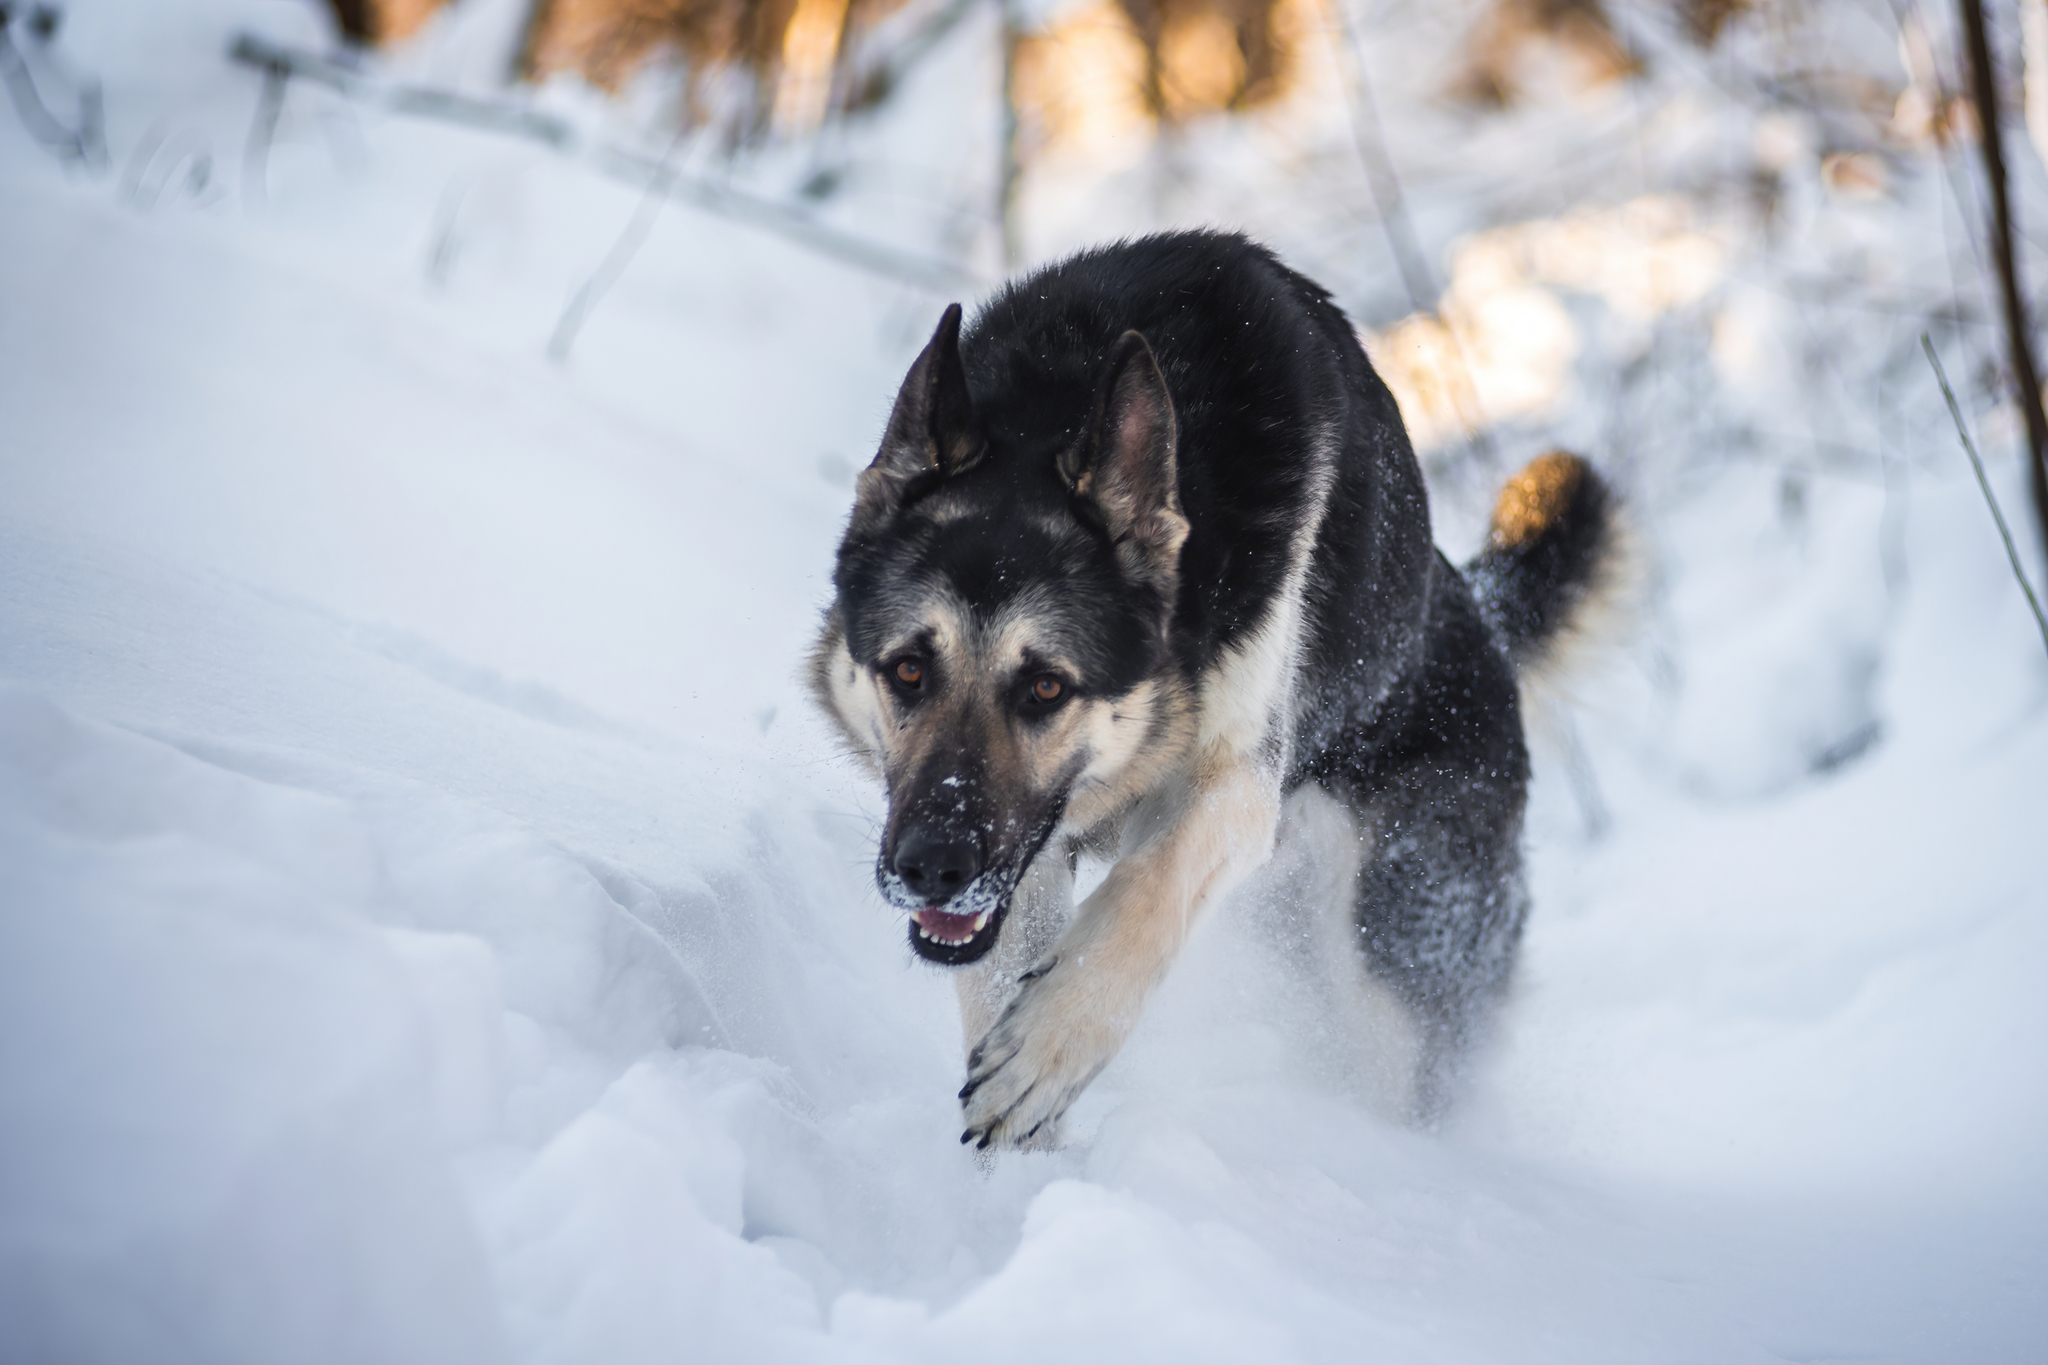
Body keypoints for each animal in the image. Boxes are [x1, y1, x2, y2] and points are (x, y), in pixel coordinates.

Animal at [806, 229, 1622, 1146]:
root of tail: (1481, 616)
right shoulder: (1028, 854)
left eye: (1047, 687)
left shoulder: (1235, 786)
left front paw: (1048, 1048)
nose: (932, 869)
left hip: (1387, 972)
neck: (1057, 400)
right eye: (908, 670)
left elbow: (1147, 892)